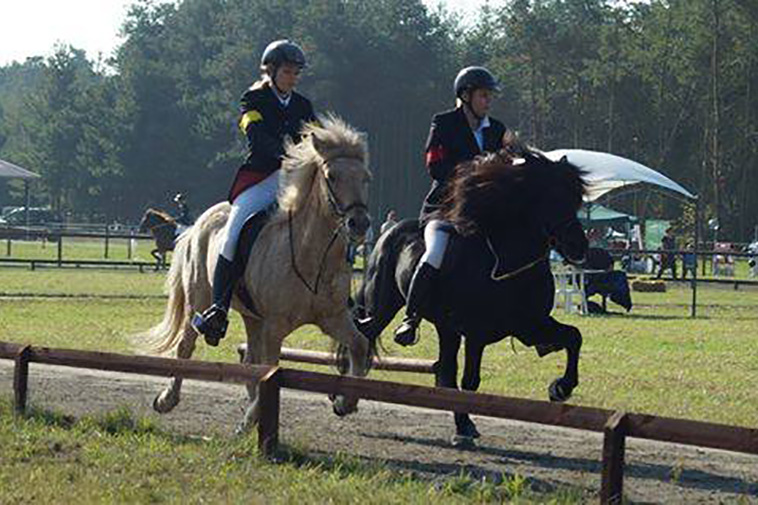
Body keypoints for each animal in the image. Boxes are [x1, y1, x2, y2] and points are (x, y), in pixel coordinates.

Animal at [140, 116, 374, 432]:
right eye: (332, 176)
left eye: (365, 178)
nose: (359, 224)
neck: (312, 255)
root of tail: (196, 224)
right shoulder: (275, 325)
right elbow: (270, 367)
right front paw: (252, 415)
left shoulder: (332, 318)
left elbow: (359, 345)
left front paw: (344, 402)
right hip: (199, 301)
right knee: (186, 347)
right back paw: (167, 400)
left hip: (253, 316)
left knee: (249, 359)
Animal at [354, 148, 592, 442]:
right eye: (551, 197)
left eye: (576, 200)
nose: (579, 247)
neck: (505, 262)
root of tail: (393, 230)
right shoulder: (477, 333)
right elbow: (470, 382)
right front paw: (465, 429)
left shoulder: (530, 325)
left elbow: (574, 337)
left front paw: (561, 388)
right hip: (383, 305)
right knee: (365, 334)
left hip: (446, 328)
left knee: (444, 372)